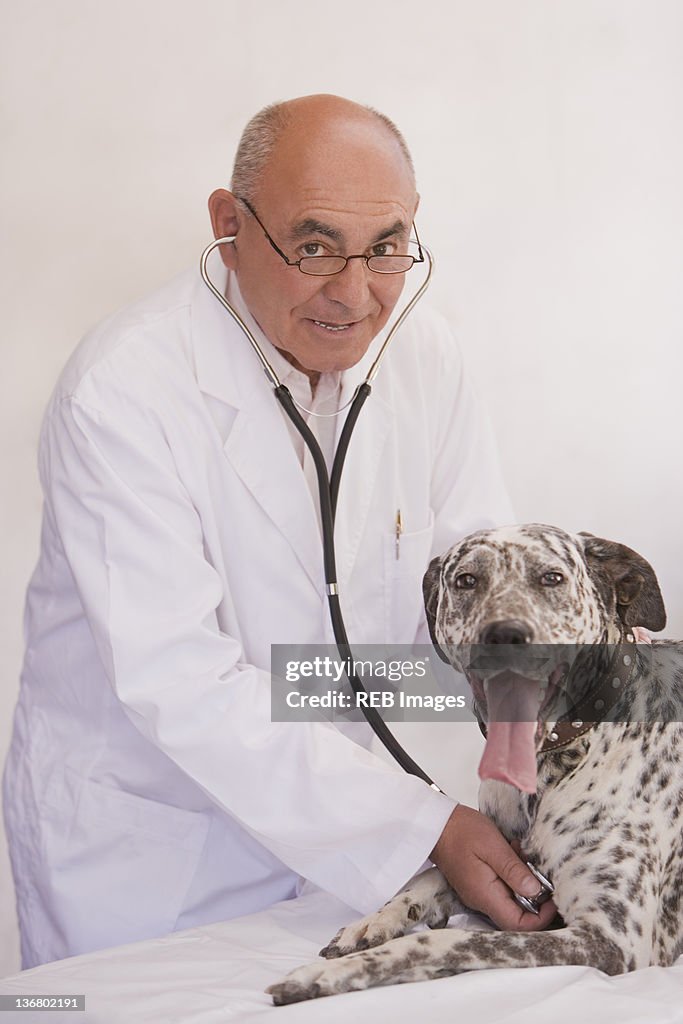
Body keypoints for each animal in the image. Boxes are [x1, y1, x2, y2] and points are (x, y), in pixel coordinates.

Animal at [268, 524, 683, 1003]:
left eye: (552, 578)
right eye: (466, 580)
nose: (503, 635)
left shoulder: (611, 941)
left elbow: (444, 941)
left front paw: (334, 972)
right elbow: (431, 874)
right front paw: (374, 920)